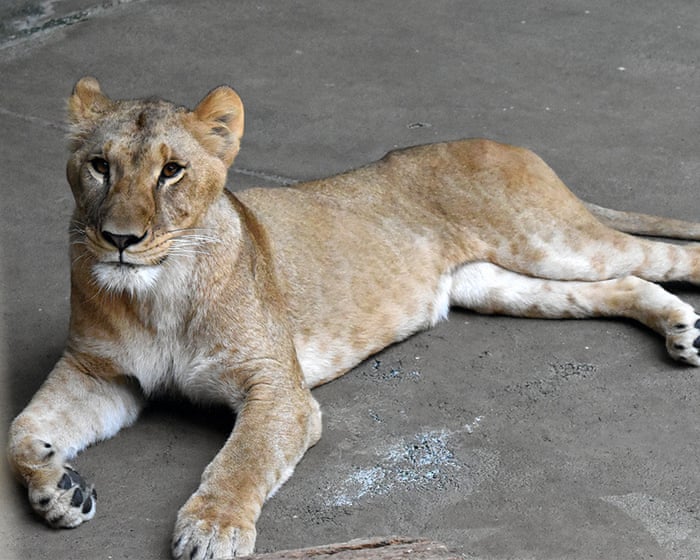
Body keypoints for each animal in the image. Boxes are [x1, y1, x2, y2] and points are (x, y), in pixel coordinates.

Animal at [8, 77, 700, 559]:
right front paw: (60, 490)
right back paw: (679, 330)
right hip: (499, 282)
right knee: (623, 284)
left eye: (171, 170)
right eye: (100, 165)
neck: (155, 295)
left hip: (552, 241)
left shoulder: (277, 387)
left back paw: (689, 336)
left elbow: (243, 459)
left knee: (665, 256)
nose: (120, 239)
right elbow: (20, 432)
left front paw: (213, 529)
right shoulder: (100, 373)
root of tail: (502, 141)